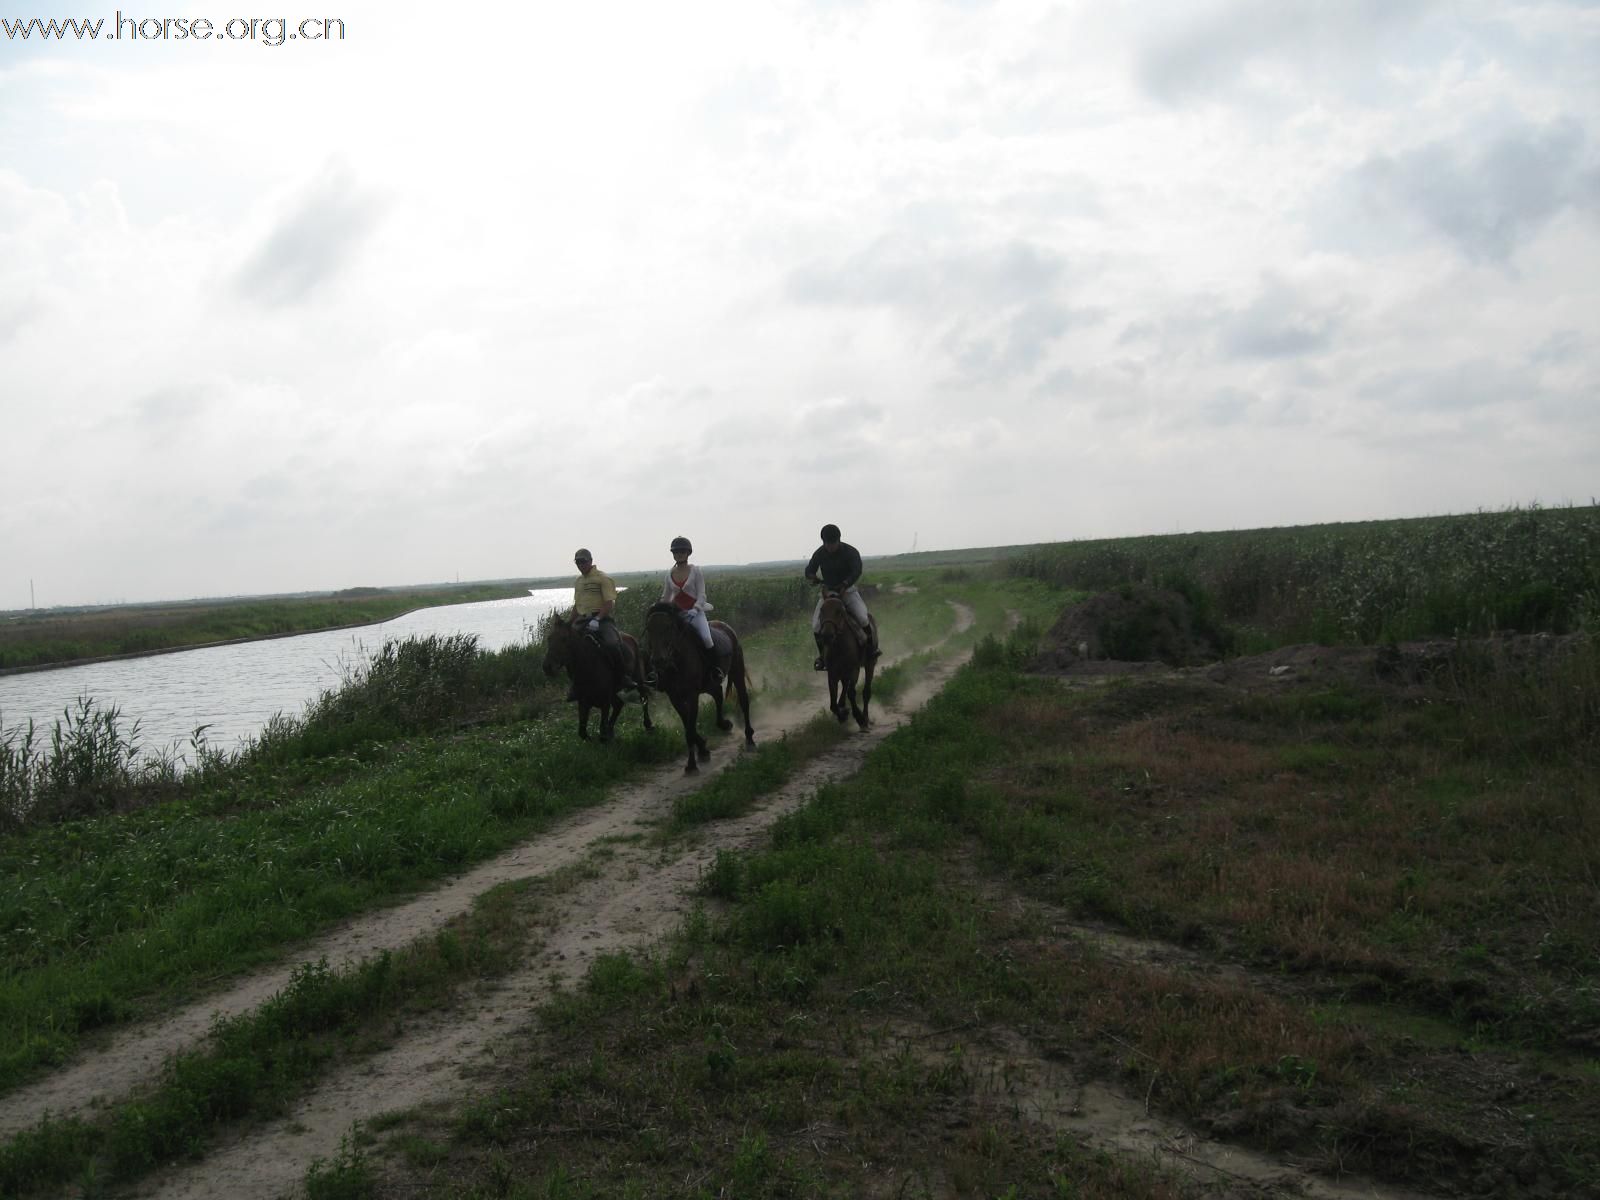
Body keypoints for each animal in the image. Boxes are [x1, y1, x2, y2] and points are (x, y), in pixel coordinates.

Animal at [640, 604, 752, 774]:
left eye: (669, 627)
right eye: (649, 628)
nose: (658, 660)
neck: (677, 662)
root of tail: (726, 627)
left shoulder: (692, 695)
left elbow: (690, 730)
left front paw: (692, 764)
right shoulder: (675, 698)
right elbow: (688, 727)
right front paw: (703, 750)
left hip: (736, 670)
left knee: (743, 700)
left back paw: (749, 738)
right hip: (709, 684)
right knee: (718, 695)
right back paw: (724, 724)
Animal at [825, 592, 876, 732]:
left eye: (839, 612)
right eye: (822, 611)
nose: (827, 635)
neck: (838, 646)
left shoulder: (854, 669)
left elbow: (852, 693)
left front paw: (860, 719)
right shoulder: (832, 674)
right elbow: (833, 703)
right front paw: (843, 715)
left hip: (870, 664)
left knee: (866, 692)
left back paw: (866, 718)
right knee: (844, 688)